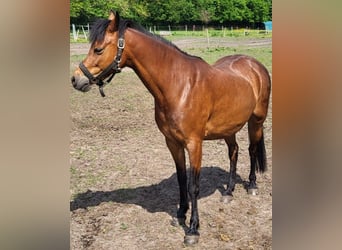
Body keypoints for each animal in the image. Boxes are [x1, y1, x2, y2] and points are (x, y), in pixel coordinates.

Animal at [71, 10, 272, 245]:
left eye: (98, 49)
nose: (76, 79)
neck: (179, 85)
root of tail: (254, 65)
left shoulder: (194, 144)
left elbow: (193, 186)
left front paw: (193, 229)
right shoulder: (172, 143)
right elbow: (181, 180)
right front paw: (180, 215)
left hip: (256, 121)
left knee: (251, 150)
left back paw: (252, 186)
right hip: (228, 128)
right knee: (234, 151)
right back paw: (229, 192)